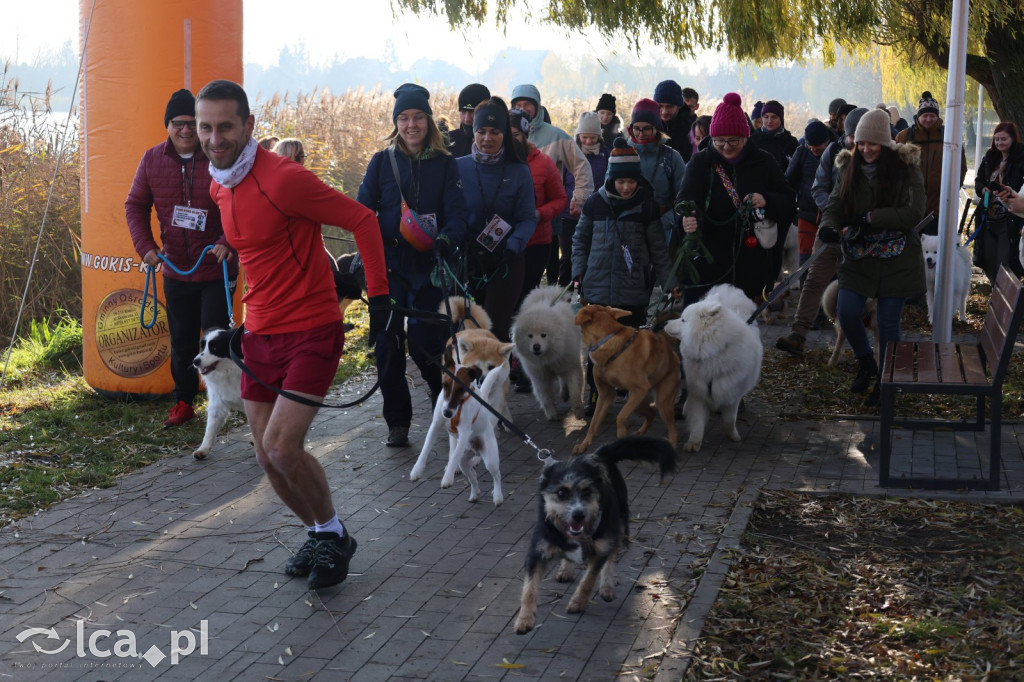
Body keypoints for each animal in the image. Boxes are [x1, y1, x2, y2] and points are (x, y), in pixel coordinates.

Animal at [190, 327, 243, 458]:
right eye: (202, 346)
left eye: (214, 348)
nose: (195, 361)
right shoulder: (217, 403)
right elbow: (210, 428)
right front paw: (203, 449)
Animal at [509, 282, 585, 419]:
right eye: (530, 336)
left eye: (544, 335)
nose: (536, 346)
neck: (548, 358)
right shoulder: (540, 376)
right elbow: (545, 397)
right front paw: (552, 414)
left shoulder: (571, 365)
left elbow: (575, 390)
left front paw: (578, 411)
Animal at [516, 436, 675, 630]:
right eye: (561, 492)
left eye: (587, 491)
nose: (578, 515)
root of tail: (598, 455)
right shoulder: (538, 552)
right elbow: (529, 588)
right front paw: (524, 620)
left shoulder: (601, 547)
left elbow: (589, 580)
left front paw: (578, 602)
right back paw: (566, 569)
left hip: (619, 523)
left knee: (612, 555)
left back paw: (607, 587)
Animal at [577, 305, 679, 454]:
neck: (607, 340)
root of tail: (672, 354)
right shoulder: (606, 394)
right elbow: (594, 422)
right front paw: (583, 445)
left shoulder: (640, 389)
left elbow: (620, 417)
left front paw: (621, 437)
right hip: (636, 401)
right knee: (651, 413)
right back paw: (641, 433)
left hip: (661, 401)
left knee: (672, 427)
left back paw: (673, 444)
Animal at [663, 282, 761, 450]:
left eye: (683, 320)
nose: (665, 323)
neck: (713, 353)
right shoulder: (698, 391)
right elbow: (697, 422)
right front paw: (693, 443)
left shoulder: (731, 392)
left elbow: (729, 420)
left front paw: (733, 436)